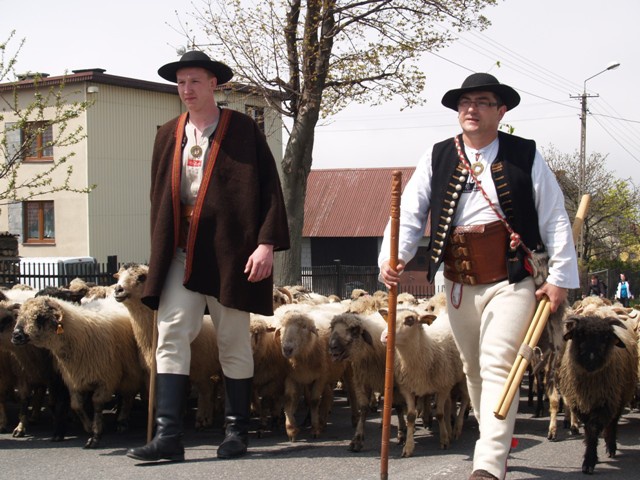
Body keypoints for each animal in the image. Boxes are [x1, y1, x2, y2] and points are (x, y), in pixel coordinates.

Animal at [11, 294, 144, 448]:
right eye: (19, 315)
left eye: (40, 317)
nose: (16, 336)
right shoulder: (74, 379)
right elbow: (76, 405)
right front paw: (88, 427)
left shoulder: (106, 380)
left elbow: (97, 404)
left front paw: (95, 435)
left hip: (130, 370)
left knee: (128, 396)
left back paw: (122, 420)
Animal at [114, 264, 224, 430]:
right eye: (119, 276)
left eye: (141, 277)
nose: (118, 289)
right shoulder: (152, 373)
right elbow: (157, 399)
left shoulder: (201, 369)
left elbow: (204, 392)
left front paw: (202, 418)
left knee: (210, 390)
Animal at [328, 312, 408, 454]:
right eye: (332, 328)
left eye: (354, 330)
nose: (332, 347)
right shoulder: (362, 382)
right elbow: (364, 409)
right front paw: (357, 440)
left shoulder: (396, 384)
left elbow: (398, 407)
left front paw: (402, 434)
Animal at [380, 308, 470, 458]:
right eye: (389, 319)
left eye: (410, 320)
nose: (384, 337)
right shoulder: (407, 388)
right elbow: (411, 416)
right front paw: (408, 448)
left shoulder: (443, 386)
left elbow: (439, 413)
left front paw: (444, 440)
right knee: (450, 403)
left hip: (462, 377)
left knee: (465, 399)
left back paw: (457, 428)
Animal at [556, 314, 636, 474]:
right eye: (579, 335)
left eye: (605, 337)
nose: (591, 358)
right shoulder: (579, 403)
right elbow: (589, 430)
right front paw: (591, 457)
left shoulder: (606, 402)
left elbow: (594, 429)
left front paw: (589, 462)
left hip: (619, 398)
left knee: (612, 423)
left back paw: (611, 447)